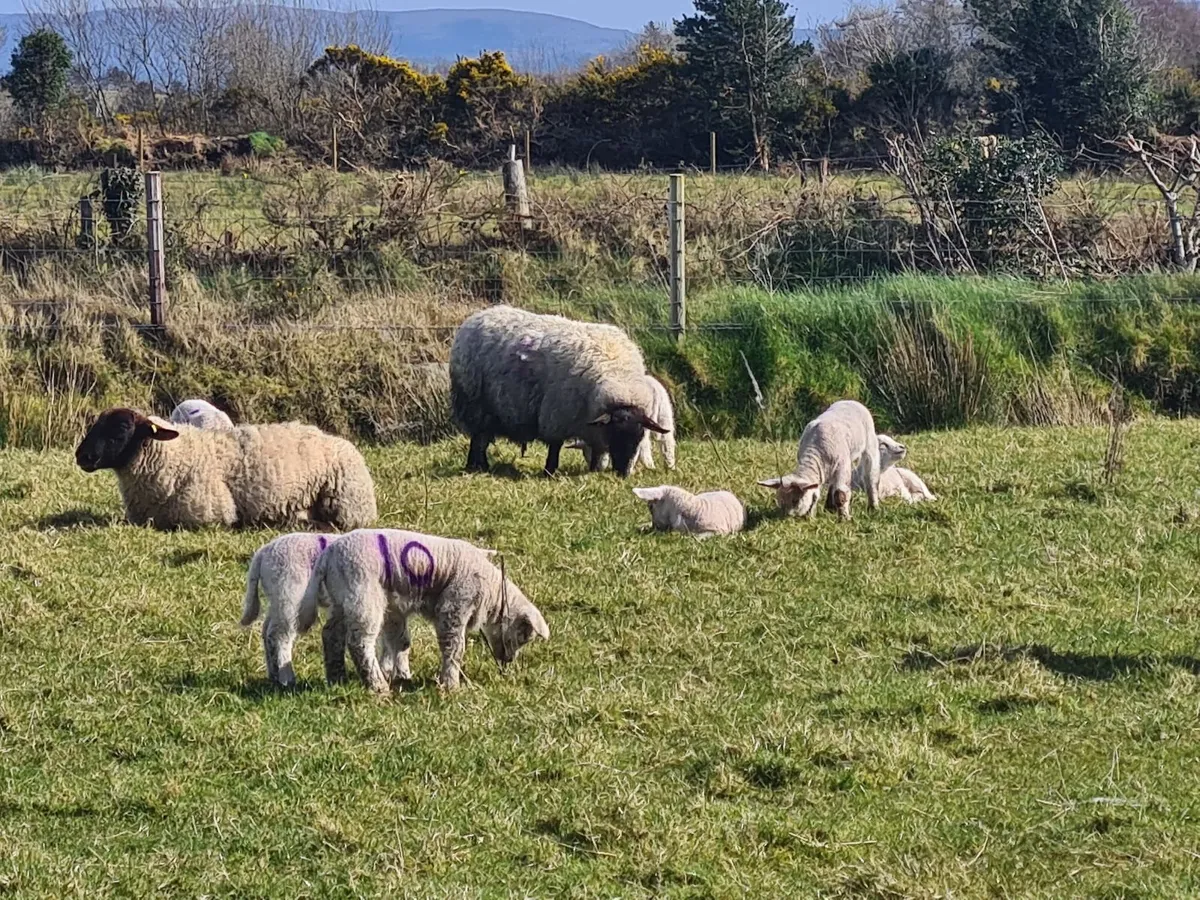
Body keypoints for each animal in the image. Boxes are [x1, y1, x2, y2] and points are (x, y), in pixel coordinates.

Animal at [240, 532, 339, 686]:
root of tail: (262, 554)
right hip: (289, 592)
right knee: (280, 635)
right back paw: (287, 678)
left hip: (277, 598)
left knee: (267, 631)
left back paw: (274, 674)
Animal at [298, 528, 549, 692]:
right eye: (524, 636)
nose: (508, 661)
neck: (491, 592)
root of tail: (327, 557)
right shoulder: (454, 604)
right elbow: (454, 646)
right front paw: (450, 684)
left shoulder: (395, 608)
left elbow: (400, 641)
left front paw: (402, 676)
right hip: (363, 595)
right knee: (359, 642)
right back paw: (377, 685)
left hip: (342, 600)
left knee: (331, 635)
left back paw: (336, 678)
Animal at [449, 305, 667, 477]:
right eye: (616, 434)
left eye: (639, 437)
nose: (623, 473)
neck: (617, 374)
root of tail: (475, 317)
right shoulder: (556, 415)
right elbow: (555, 446)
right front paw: (549, 472)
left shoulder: (592, 426)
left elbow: (596, 450)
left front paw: (593, 470)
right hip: (474, 404)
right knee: (478, 439)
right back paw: (477, 466)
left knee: (482, 437)